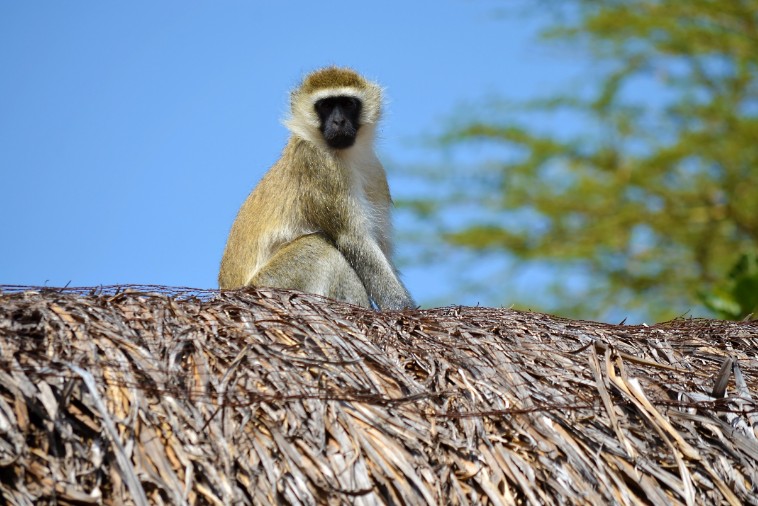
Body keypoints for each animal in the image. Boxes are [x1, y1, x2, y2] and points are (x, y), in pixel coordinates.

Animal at [218, 66, 415, 310]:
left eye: (348, 103)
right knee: (320, 248)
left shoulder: (376, 172)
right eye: (326, 106)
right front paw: (404, 309)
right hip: (269, 287)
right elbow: (354, 239)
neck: (347, 155)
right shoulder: (319, 163)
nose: (339, 121)